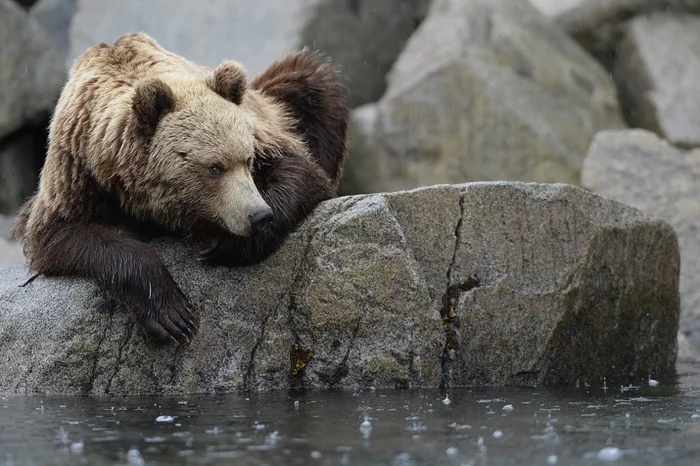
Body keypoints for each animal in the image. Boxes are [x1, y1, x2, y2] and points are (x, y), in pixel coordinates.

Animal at [11, 31, 348, 346]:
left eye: (247, 159)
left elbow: (299, 170)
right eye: (214, 168)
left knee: (309, 78)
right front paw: (172, 316)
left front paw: (225, 246)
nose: (258, 215)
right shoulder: (77, 172)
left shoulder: (266, 137)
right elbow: (63, 234)